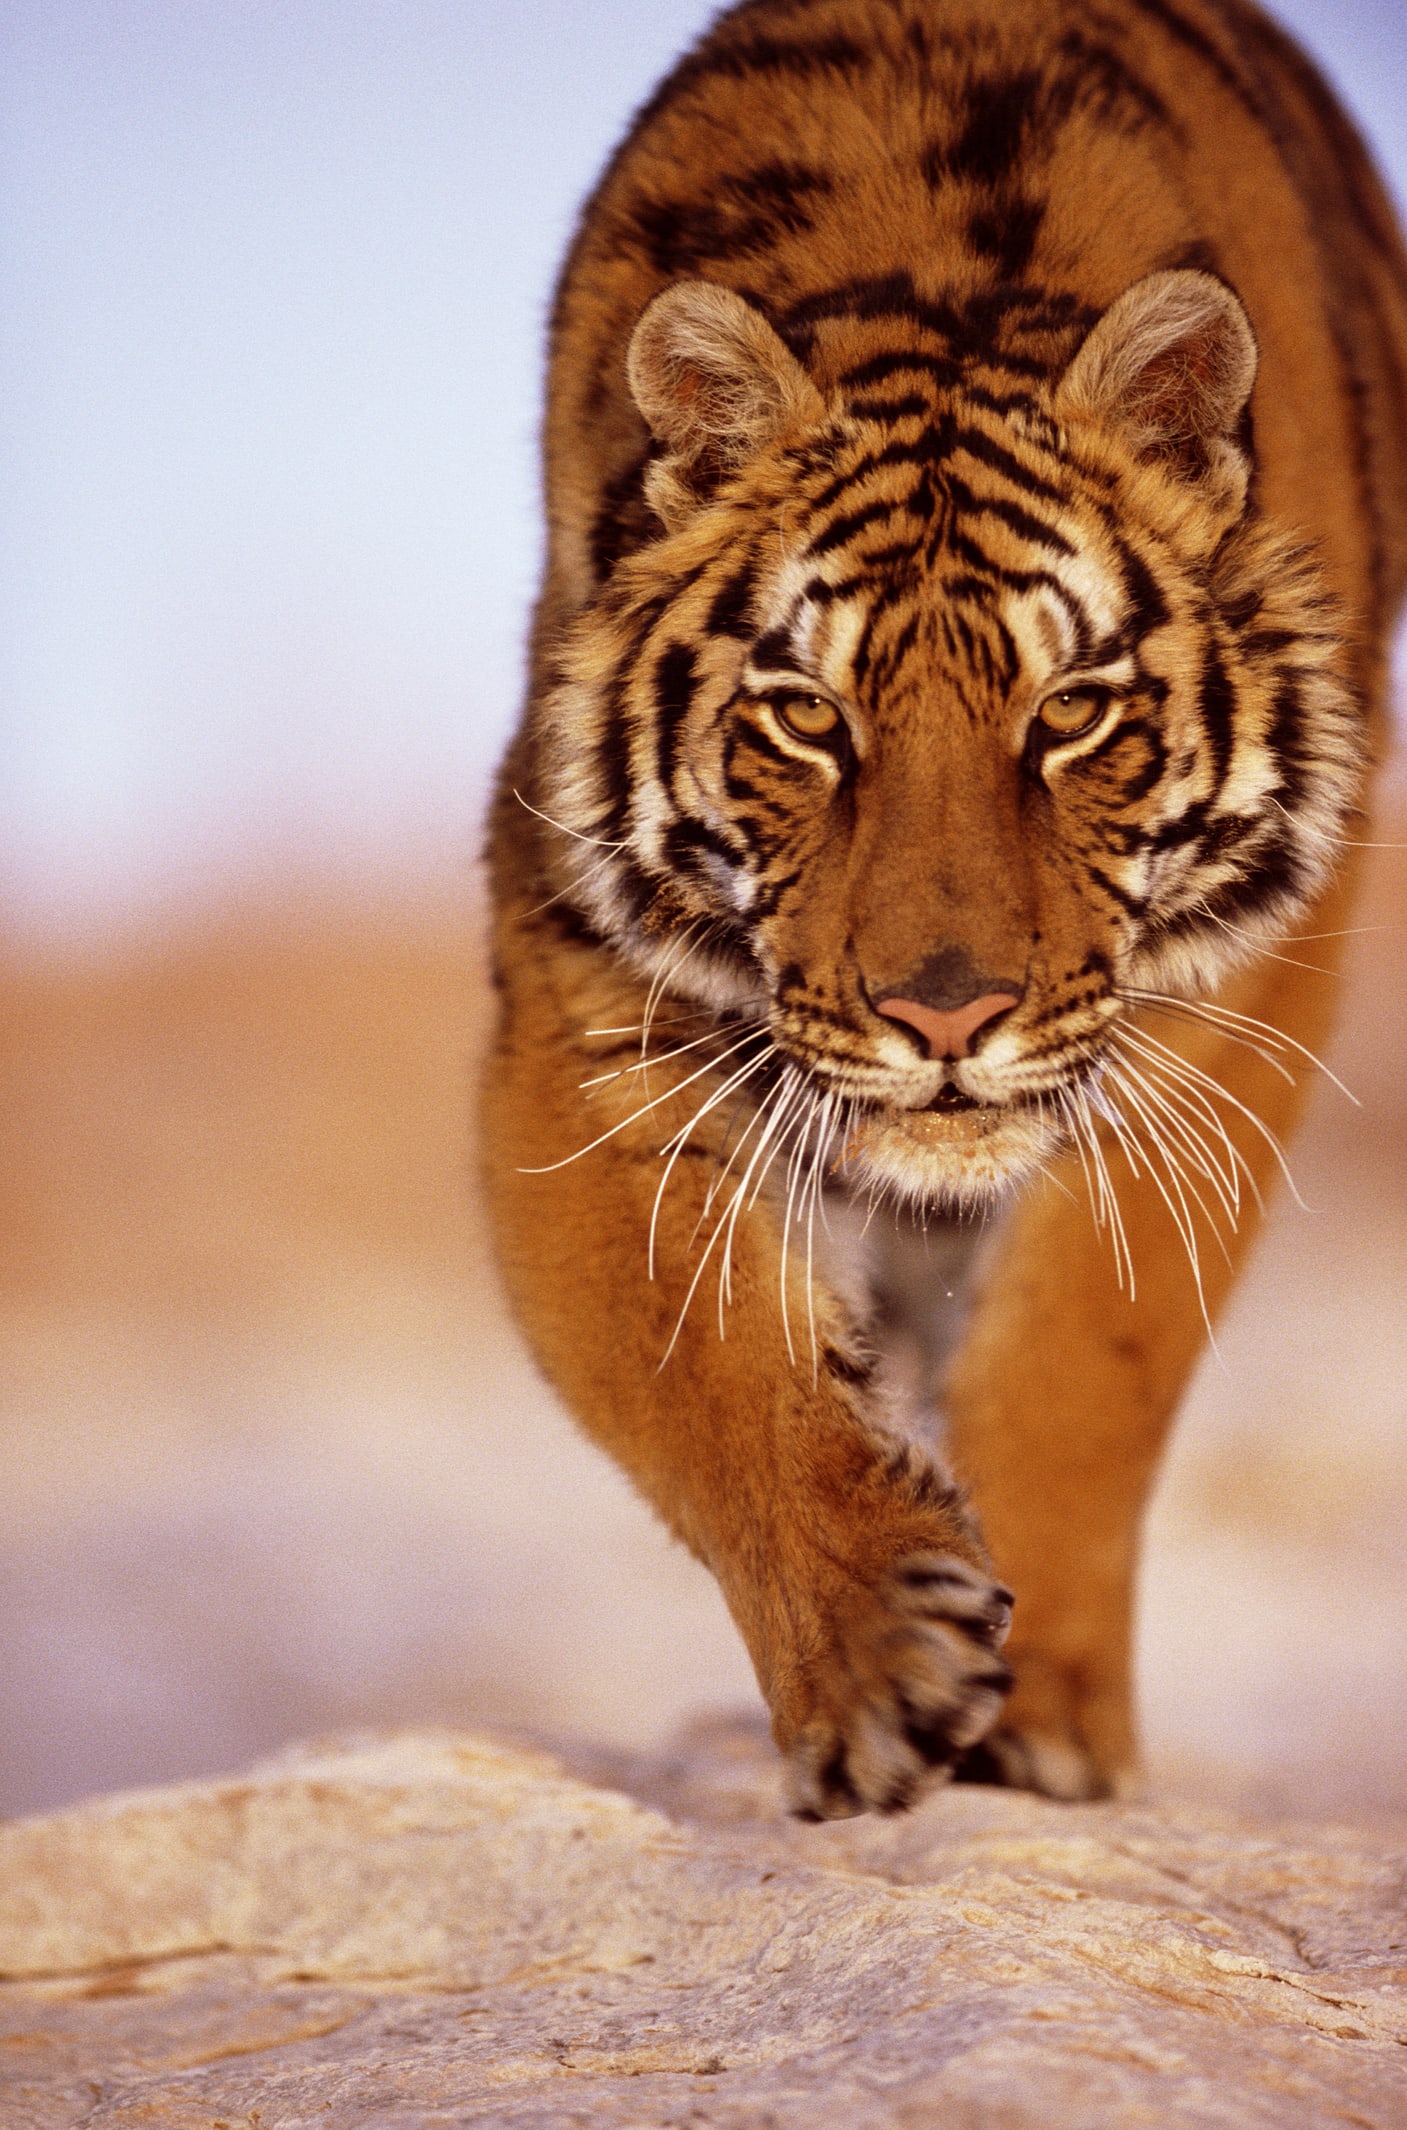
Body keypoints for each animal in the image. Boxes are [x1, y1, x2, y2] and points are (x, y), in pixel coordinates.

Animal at [483, 0, 1407, 1818]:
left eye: (1069, 712)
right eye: (804, 720)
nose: (944, 1016)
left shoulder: (1245, 975)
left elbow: (1088, 1344)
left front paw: (1037, 1728)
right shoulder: (576, 989)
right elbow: (691, 1354)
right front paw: (875, 1660)